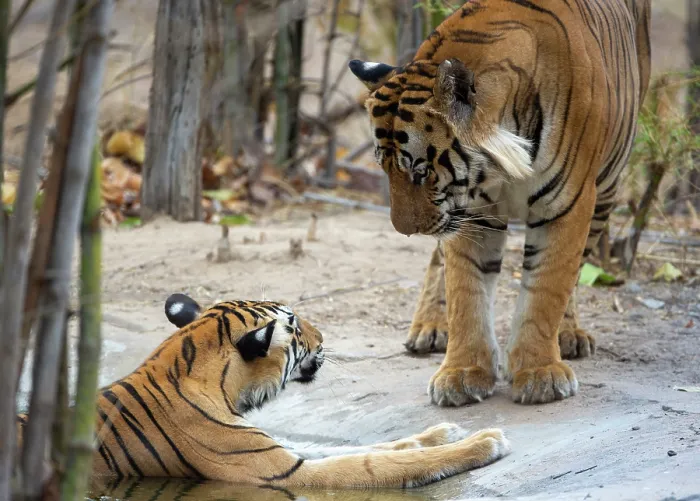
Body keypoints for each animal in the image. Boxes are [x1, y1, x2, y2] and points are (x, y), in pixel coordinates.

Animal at [17, 294, 509, 488]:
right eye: (295, 327)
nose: (325, 336)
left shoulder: (281, 450)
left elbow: (376, 446)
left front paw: (441, 432)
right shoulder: (282, 472)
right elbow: (372, 463)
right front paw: (484, 441)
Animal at [349, 0, 651, 406]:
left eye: (421, 171)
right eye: (385, 168)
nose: (405, 230)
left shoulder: (567, 205)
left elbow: (548, 287)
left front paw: (540, 373)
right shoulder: (470, 212)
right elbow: (465, 291)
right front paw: (461, 373)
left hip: (606, 188)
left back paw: (569, 335)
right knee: (439, 262)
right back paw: (430, 326)